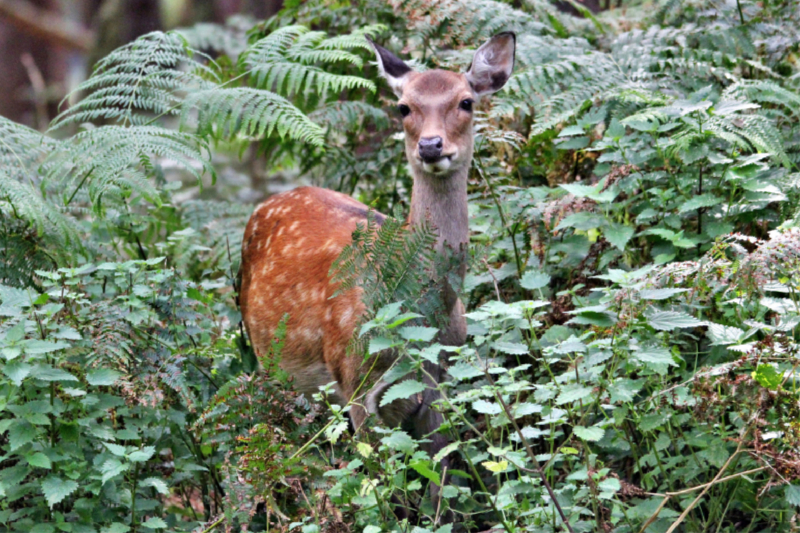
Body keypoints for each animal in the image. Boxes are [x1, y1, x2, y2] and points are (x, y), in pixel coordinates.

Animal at [238, 31, 516, 460]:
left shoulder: (438, 388)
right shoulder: (356, 381)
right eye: (404, 107)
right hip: (267, 359)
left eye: (466, 101)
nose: (431, 146)